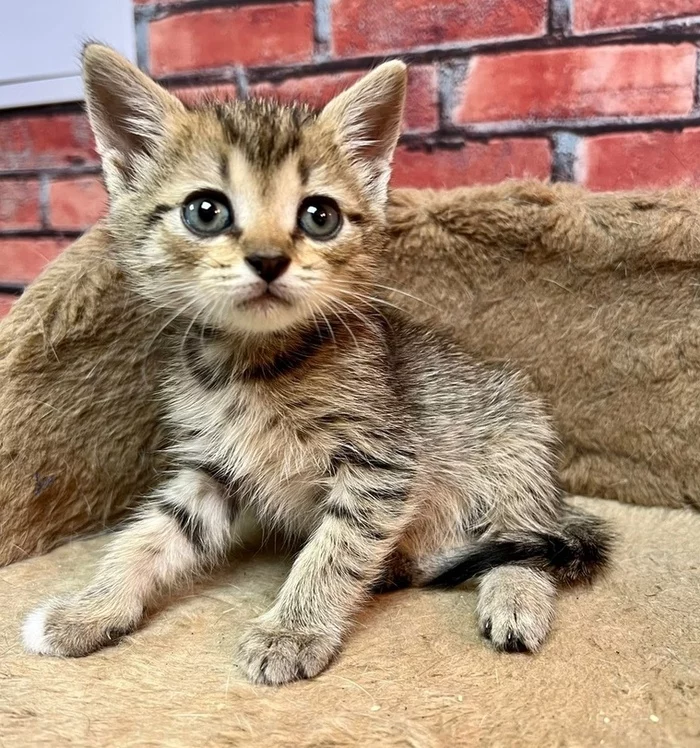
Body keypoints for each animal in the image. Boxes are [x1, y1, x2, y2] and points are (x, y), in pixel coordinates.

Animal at [21, 42, 608, 684]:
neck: (253, 365)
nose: (268, 259)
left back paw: (513, 597)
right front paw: (90, 609)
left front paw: (293, 630)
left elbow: (335, 549)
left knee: (528, 545)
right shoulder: (213, 468)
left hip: (514, 451)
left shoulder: (380, 465)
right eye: (206, 211)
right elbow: (151, 536)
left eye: (319, 216)